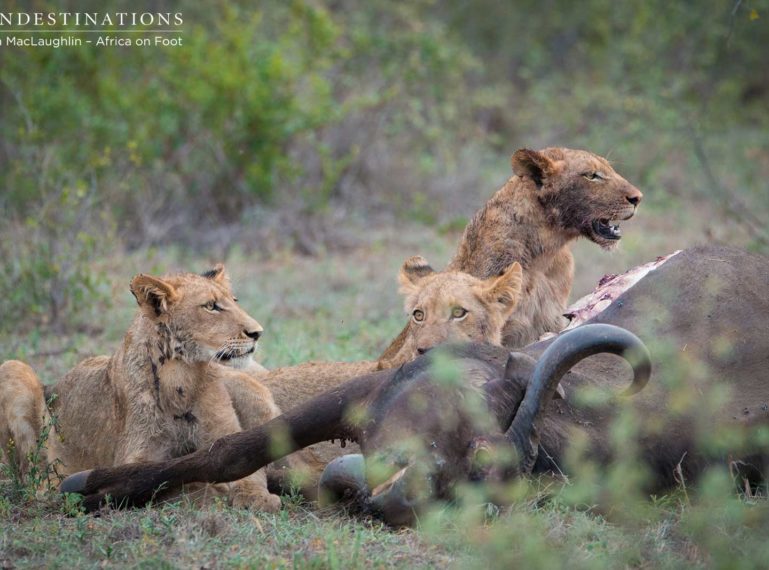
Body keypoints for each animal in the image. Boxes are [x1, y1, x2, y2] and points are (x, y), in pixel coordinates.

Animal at [0, 266, 282, 510]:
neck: (182, 377)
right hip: (13, 368)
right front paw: (213, 493)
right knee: (32, 477)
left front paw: (257, 497)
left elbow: (247, 469)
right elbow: (168, 481)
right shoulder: (135, 455)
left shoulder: (224, 434)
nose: (257, 333)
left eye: (234, 301)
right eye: (211, 306)